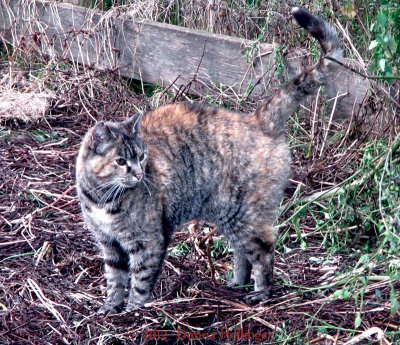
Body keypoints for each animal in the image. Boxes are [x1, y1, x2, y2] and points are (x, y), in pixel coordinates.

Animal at [76, 6, 342, 314]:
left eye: (141, 157)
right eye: (121, 161)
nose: (139, 174)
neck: (103, 198)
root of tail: (257, 120)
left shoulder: (147, 241)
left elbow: (141, 278)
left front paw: (135, 310)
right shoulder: (108, 244)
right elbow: (115, 277)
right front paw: (111, 305)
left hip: (245, 214)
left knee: (263, 252)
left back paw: (261, 293)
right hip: (228, 214)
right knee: (241, 251)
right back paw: (237, 283)